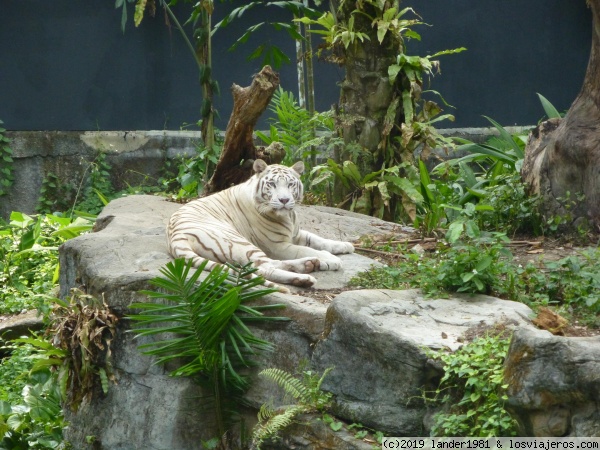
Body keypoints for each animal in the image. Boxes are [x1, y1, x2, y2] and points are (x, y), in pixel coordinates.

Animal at [168, 158, 356, 292]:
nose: (284, 200)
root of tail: (176, 237)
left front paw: (345, 245)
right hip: (238, 241)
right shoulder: (277, 245)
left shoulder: (295, 233)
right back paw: (305, 277)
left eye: (290, 184)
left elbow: (318, 239)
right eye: (272, 184)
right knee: (265, 267)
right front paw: (332, 260)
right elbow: (306, 249)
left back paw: (309, 266)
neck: (288, 216)